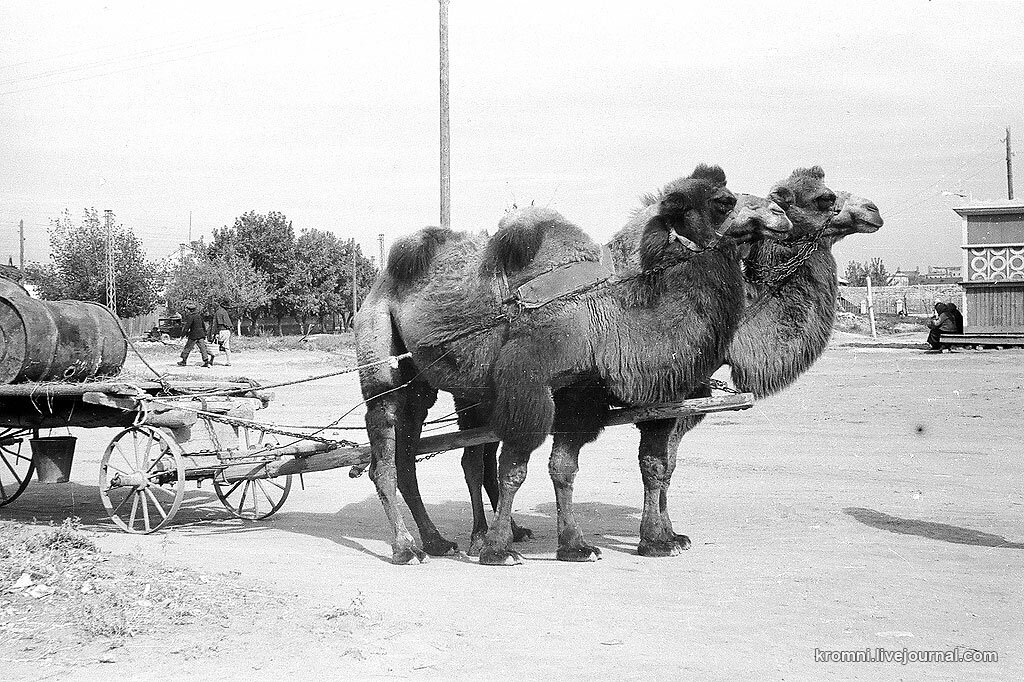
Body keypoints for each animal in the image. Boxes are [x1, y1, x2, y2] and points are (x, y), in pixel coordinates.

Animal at [356, 164, 778, 561]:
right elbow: (515, 467)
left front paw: (597, 544)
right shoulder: (527, 380)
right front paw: (498, 550)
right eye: (723, 202)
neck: (604, 308)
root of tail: (377, 287)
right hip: (379, 350)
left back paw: (438, 542)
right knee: (387, 452)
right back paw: (408, 548)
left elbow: (572, 465)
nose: (780, 212)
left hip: (424, 384)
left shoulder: (582, 391)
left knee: (412, 453)